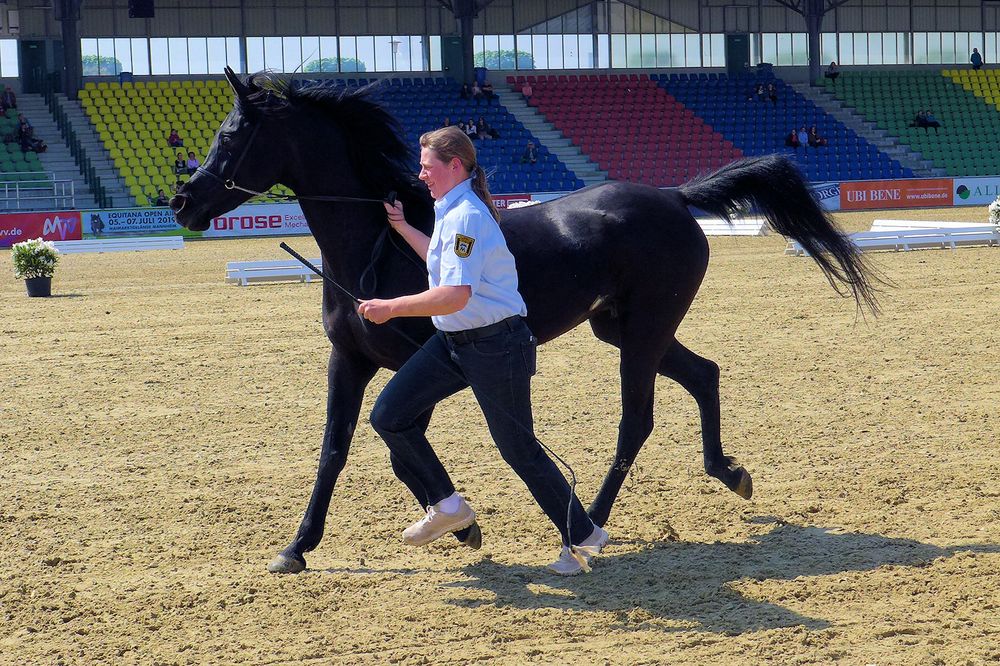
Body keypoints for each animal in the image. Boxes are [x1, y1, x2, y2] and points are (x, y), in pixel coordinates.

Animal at [170, 70, 876, 572]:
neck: (378, 244)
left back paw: (587, 525)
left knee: (637, 421)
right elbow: (338, 448)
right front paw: (297, 547)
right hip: (623, 328)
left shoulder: (433, 363)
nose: (181, 202)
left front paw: (461, 523)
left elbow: (399, 443)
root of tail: (675, 197)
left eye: (231, 136)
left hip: (643, 332)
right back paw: (729, 473)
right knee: (704, 374)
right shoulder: (351, 360)